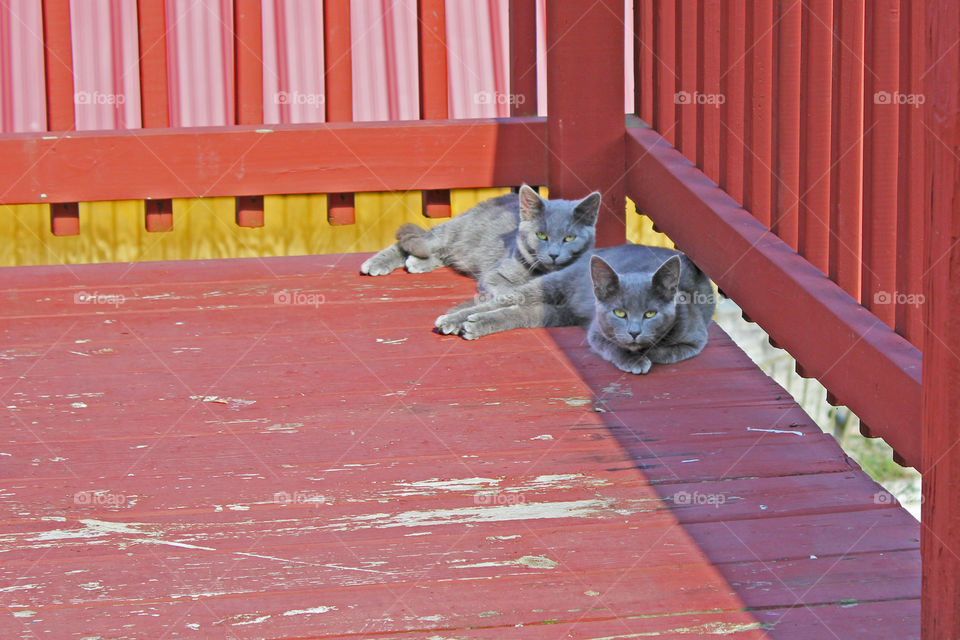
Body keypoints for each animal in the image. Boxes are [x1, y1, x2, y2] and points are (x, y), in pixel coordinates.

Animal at [360, 185, 600, 296]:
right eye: (541, 235)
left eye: (569, 237)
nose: (553, 254)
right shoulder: (496, 274)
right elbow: (506, 289)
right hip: (452, 231)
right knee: (422, 242)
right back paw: (377, 263)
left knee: (444, 253)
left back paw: (418, 262)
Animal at [436, 245, 712, 376]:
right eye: (620, 313)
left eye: (650, 314)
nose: (634, 332)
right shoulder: (597, 332)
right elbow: (611, 346)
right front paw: (633, 358)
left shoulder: (694, 341)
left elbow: (663, 352)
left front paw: (643, 353)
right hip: (553, 283)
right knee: (504, 300)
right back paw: (453, 320)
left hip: (554, 313)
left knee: (518, 312)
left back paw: (470, 323)